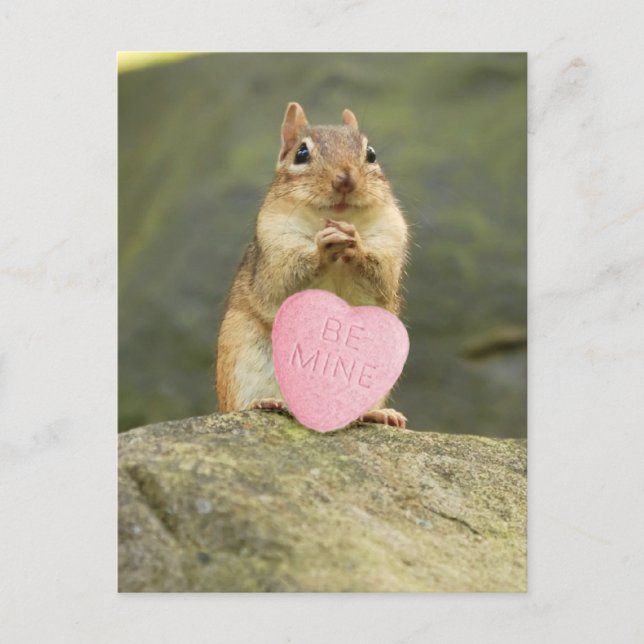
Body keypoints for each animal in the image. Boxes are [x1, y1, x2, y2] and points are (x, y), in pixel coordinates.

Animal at [215, 102, 409, 427]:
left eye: (371, 154)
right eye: (301, 154)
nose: (345, 179)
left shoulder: (390, 241)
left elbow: (379, 281)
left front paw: (355, 246)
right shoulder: (275, 246)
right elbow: (282, 285)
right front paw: (321, 248)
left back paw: (377, 414)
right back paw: (265, 402)